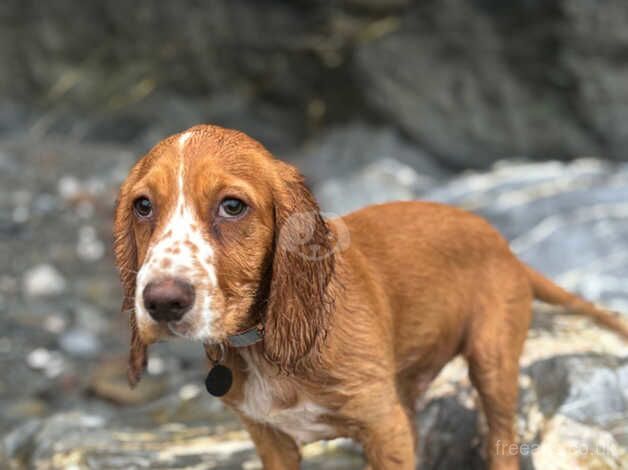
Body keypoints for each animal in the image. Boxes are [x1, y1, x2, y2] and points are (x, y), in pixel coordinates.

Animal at [113, 123, 628, 468]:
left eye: (233, 206)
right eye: (143, 206)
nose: (162, 302)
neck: (264, 342)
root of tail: (505, 246)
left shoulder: (384, 427)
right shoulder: (271, 438)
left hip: (491, 358)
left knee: (502, 439)